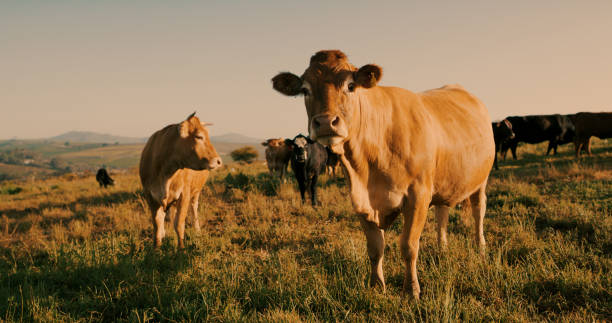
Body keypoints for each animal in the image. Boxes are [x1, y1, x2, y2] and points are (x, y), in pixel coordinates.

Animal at [139, 112, 222, 249]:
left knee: (194, 208)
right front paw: (156, 248)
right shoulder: (150, 196)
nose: (219, 161)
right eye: (199, 136)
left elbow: (179, 224)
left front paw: (181, 248)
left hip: (196, 192)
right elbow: (157, 224)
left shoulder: (184, 194)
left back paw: (197, 230)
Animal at [272, 49, 498, 300]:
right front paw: (376, 285)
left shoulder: (418, 196)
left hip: (481, 179)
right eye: (305, 90)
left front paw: (411, 290)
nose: (325, 122)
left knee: (478, 212)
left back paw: (480, 247)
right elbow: (374, 248)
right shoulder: (360, 200)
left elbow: (408, 246)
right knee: (442, 213)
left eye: (350, 85)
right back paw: (442, 248)